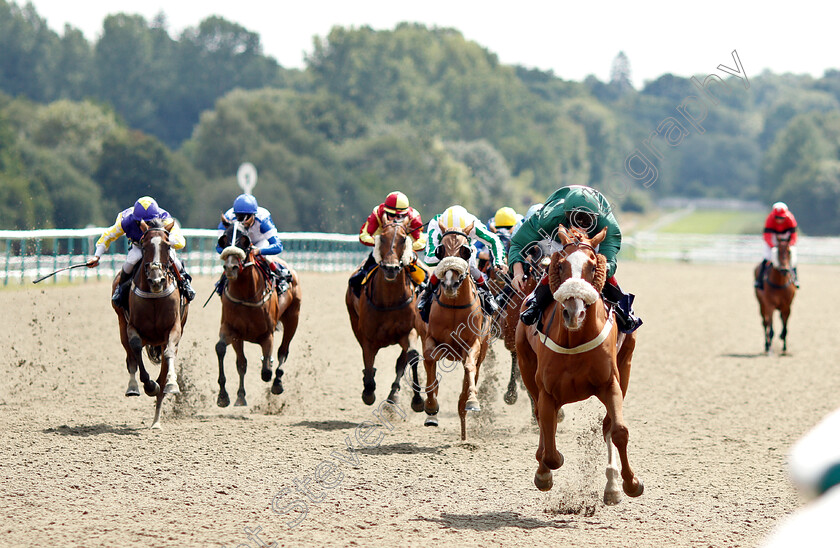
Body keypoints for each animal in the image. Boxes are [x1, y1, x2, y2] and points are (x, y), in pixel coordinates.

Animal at [113, 217, 187, 428]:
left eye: (167, 245)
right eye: (144, 246)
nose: (157, 280)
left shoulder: (174, 328)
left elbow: (169, 353)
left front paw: (172, 383)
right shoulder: (131, 327)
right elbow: (136, 348)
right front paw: (148, 385)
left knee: (163, 373)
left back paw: (156, 420)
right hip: (121, 325)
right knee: (130, 357)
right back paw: (133, 387)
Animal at [217, 218, 302, 406]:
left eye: (245, 240)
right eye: (223, 239)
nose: (231, 267)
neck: (246, 296)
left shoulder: (267, 334)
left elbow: (266, 371)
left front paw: (269, 370)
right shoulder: (233, 331)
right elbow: (229, 355)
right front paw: (228, 396)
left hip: (293, 319)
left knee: (283, 351)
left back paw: (277, 383)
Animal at [346, 218, 424, 412]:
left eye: (403, 239)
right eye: (382, 237)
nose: (391, 268)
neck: (389, 300)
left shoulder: (409, 331)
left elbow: (412, 356)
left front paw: (418, 400)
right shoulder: (368, 336)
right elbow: (368, 361)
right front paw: (368, 391)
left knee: (401, 362)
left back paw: (393, 395)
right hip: (354, 321)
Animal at [420, 223, 492, 440]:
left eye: (465, 250)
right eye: (440, 249)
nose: (450, 283)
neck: (453, 306)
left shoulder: (474, 344)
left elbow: (469, 366)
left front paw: (472, 401)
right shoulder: (429, 338)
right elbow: (431, 359)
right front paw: (431, 407)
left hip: (483, 349)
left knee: (473, 372)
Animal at [512, 227, 644, 506]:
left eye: (593, 266)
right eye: (560, 265)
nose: (575, 313)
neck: (575, 338)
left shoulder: (611, 384)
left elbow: (618, 431)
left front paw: (630, 483)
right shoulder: (547, 392)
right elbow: (551, 451)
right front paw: (544, 472)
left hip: (626, 366)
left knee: (606, 426)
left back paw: (612, 484)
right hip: (527, 366)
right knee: (541, 421)